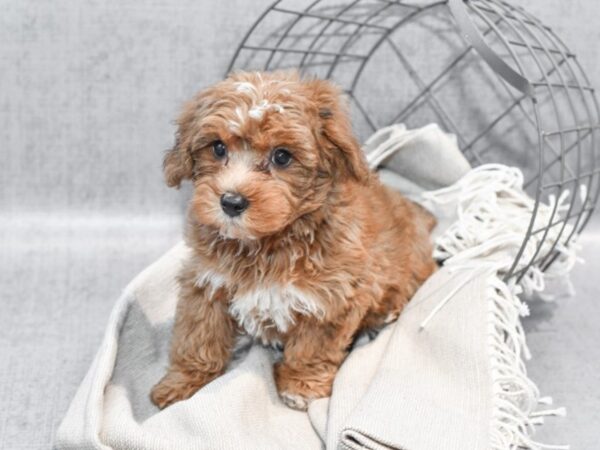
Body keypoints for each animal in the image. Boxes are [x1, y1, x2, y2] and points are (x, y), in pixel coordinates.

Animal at [148, 70, 434, 412]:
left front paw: (301, 386)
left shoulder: (332, 299)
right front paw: (183, 381)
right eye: (218, 148)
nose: (231, 202)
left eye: (282, 156)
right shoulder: (206, 282)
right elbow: (198, 334)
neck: (267, 243)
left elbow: (312, 347)